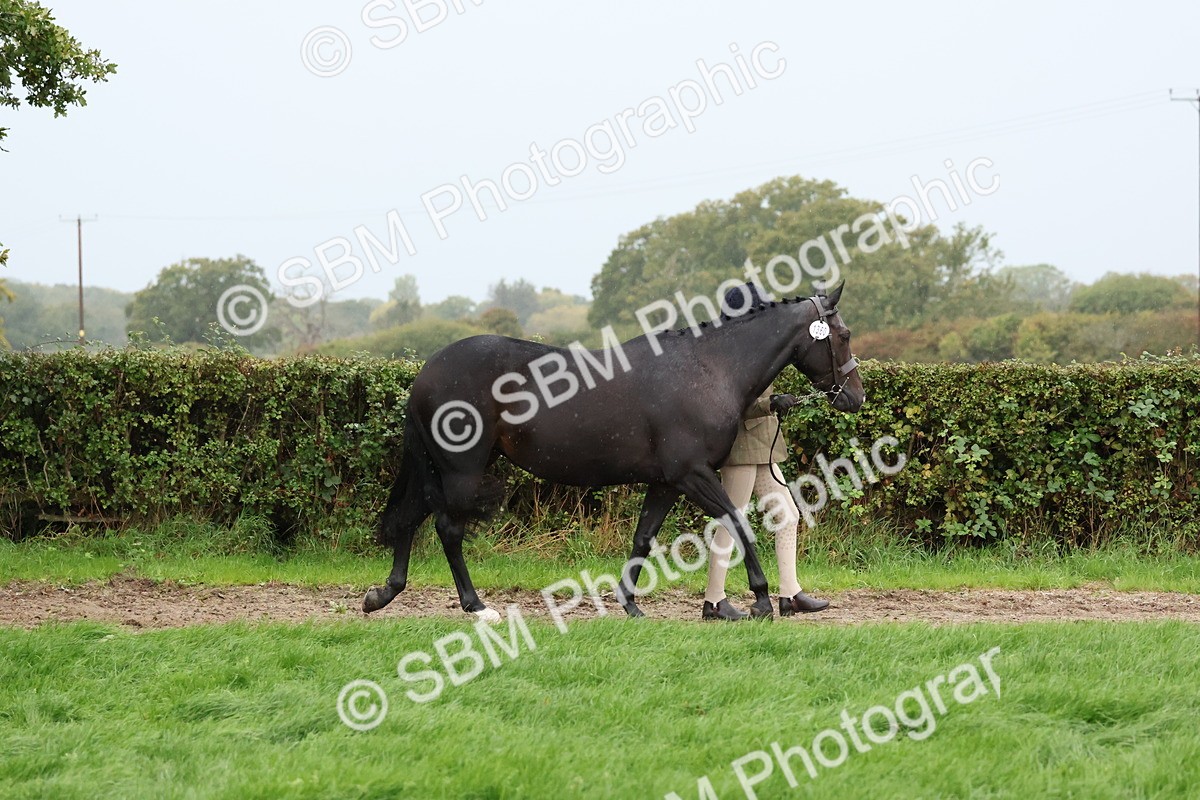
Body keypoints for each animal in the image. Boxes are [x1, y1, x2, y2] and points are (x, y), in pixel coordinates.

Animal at [362, 282, 864, 621]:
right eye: (843, 335)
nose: (855, 397)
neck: (708, 367)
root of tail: (428, 370)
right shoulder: (693, 474)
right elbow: (737, 523)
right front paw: (761, 600)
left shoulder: (666, 482)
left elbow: (643, 537)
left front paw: (630, 605)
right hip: (460, 471)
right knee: (447, 529)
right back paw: (475, 605)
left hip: (448, 467)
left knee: (410, 518)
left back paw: (383, 594)